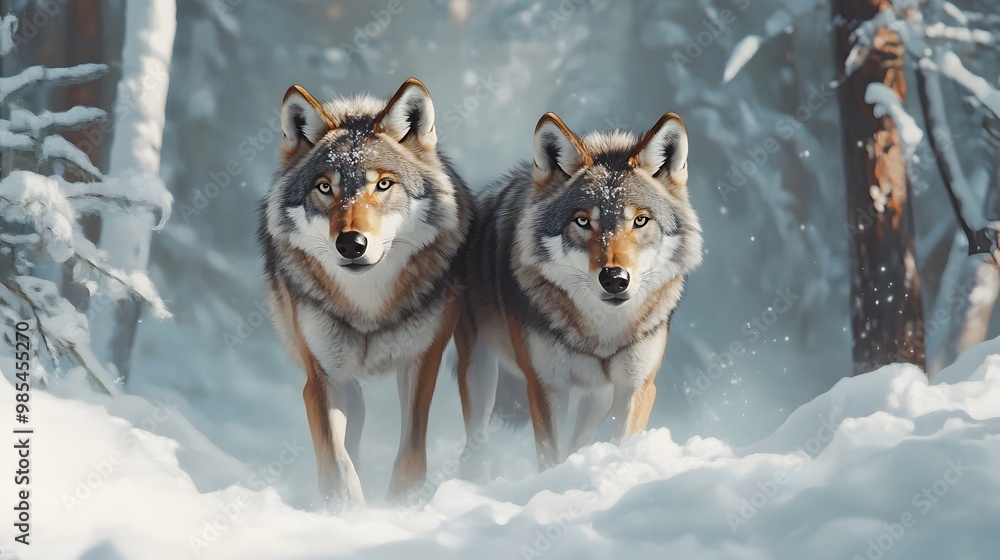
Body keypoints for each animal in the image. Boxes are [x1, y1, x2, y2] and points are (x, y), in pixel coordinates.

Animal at [257, 78, 472, 509]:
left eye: (383, 184)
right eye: (325, 187)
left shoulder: (421, 364)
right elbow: (337, 466)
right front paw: (349, 513)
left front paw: (397, 508)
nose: (352, 244)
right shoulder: (321, 379)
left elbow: (411, 457)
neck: (368, 305)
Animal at [456, 112, 702, 478]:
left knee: (581, 440)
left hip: (598, 396)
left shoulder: (636, 386)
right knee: (475, 443)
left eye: (640, 220)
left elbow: (619, 442)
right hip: (479, 374)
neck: (602, 332)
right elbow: (550, 456)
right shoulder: (546, 386)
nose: (615, 279)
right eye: (583, 221)